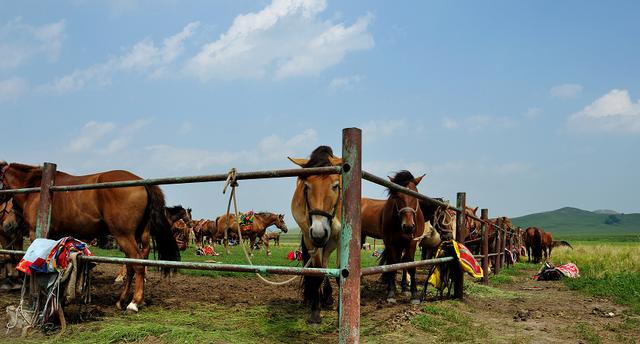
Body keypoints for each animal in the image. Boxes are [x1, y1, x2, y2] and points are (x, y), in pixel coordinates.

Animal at [0, 161, 180, 312]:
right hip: (138, 236)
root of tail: (142, 182)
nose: (9, 225)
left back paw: (134, 303)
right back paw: (122, 301)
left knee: (137, 265)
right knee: (132, 265)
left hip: (124, 235)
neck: (36, 189)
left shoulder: (35, 235)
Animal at [288, 146, 340, 326]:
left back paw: (328, 297)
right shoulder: (311, 238)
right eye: (307, 187)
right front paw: (315, 312)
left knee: (326, 263)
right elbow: (317, 273)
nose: (319, 232)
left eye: (336, 186)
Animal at [380, 171, 424, 302]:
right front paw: (391, 292)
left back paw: (405, 287)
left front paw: (414, 294)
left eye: (415, 196)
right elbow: (393, 263)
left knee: (404, 261)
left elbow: (410, 263)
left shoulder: (413, 241)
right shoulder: (389, 241)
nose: (408, 227)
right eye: (397, 197)